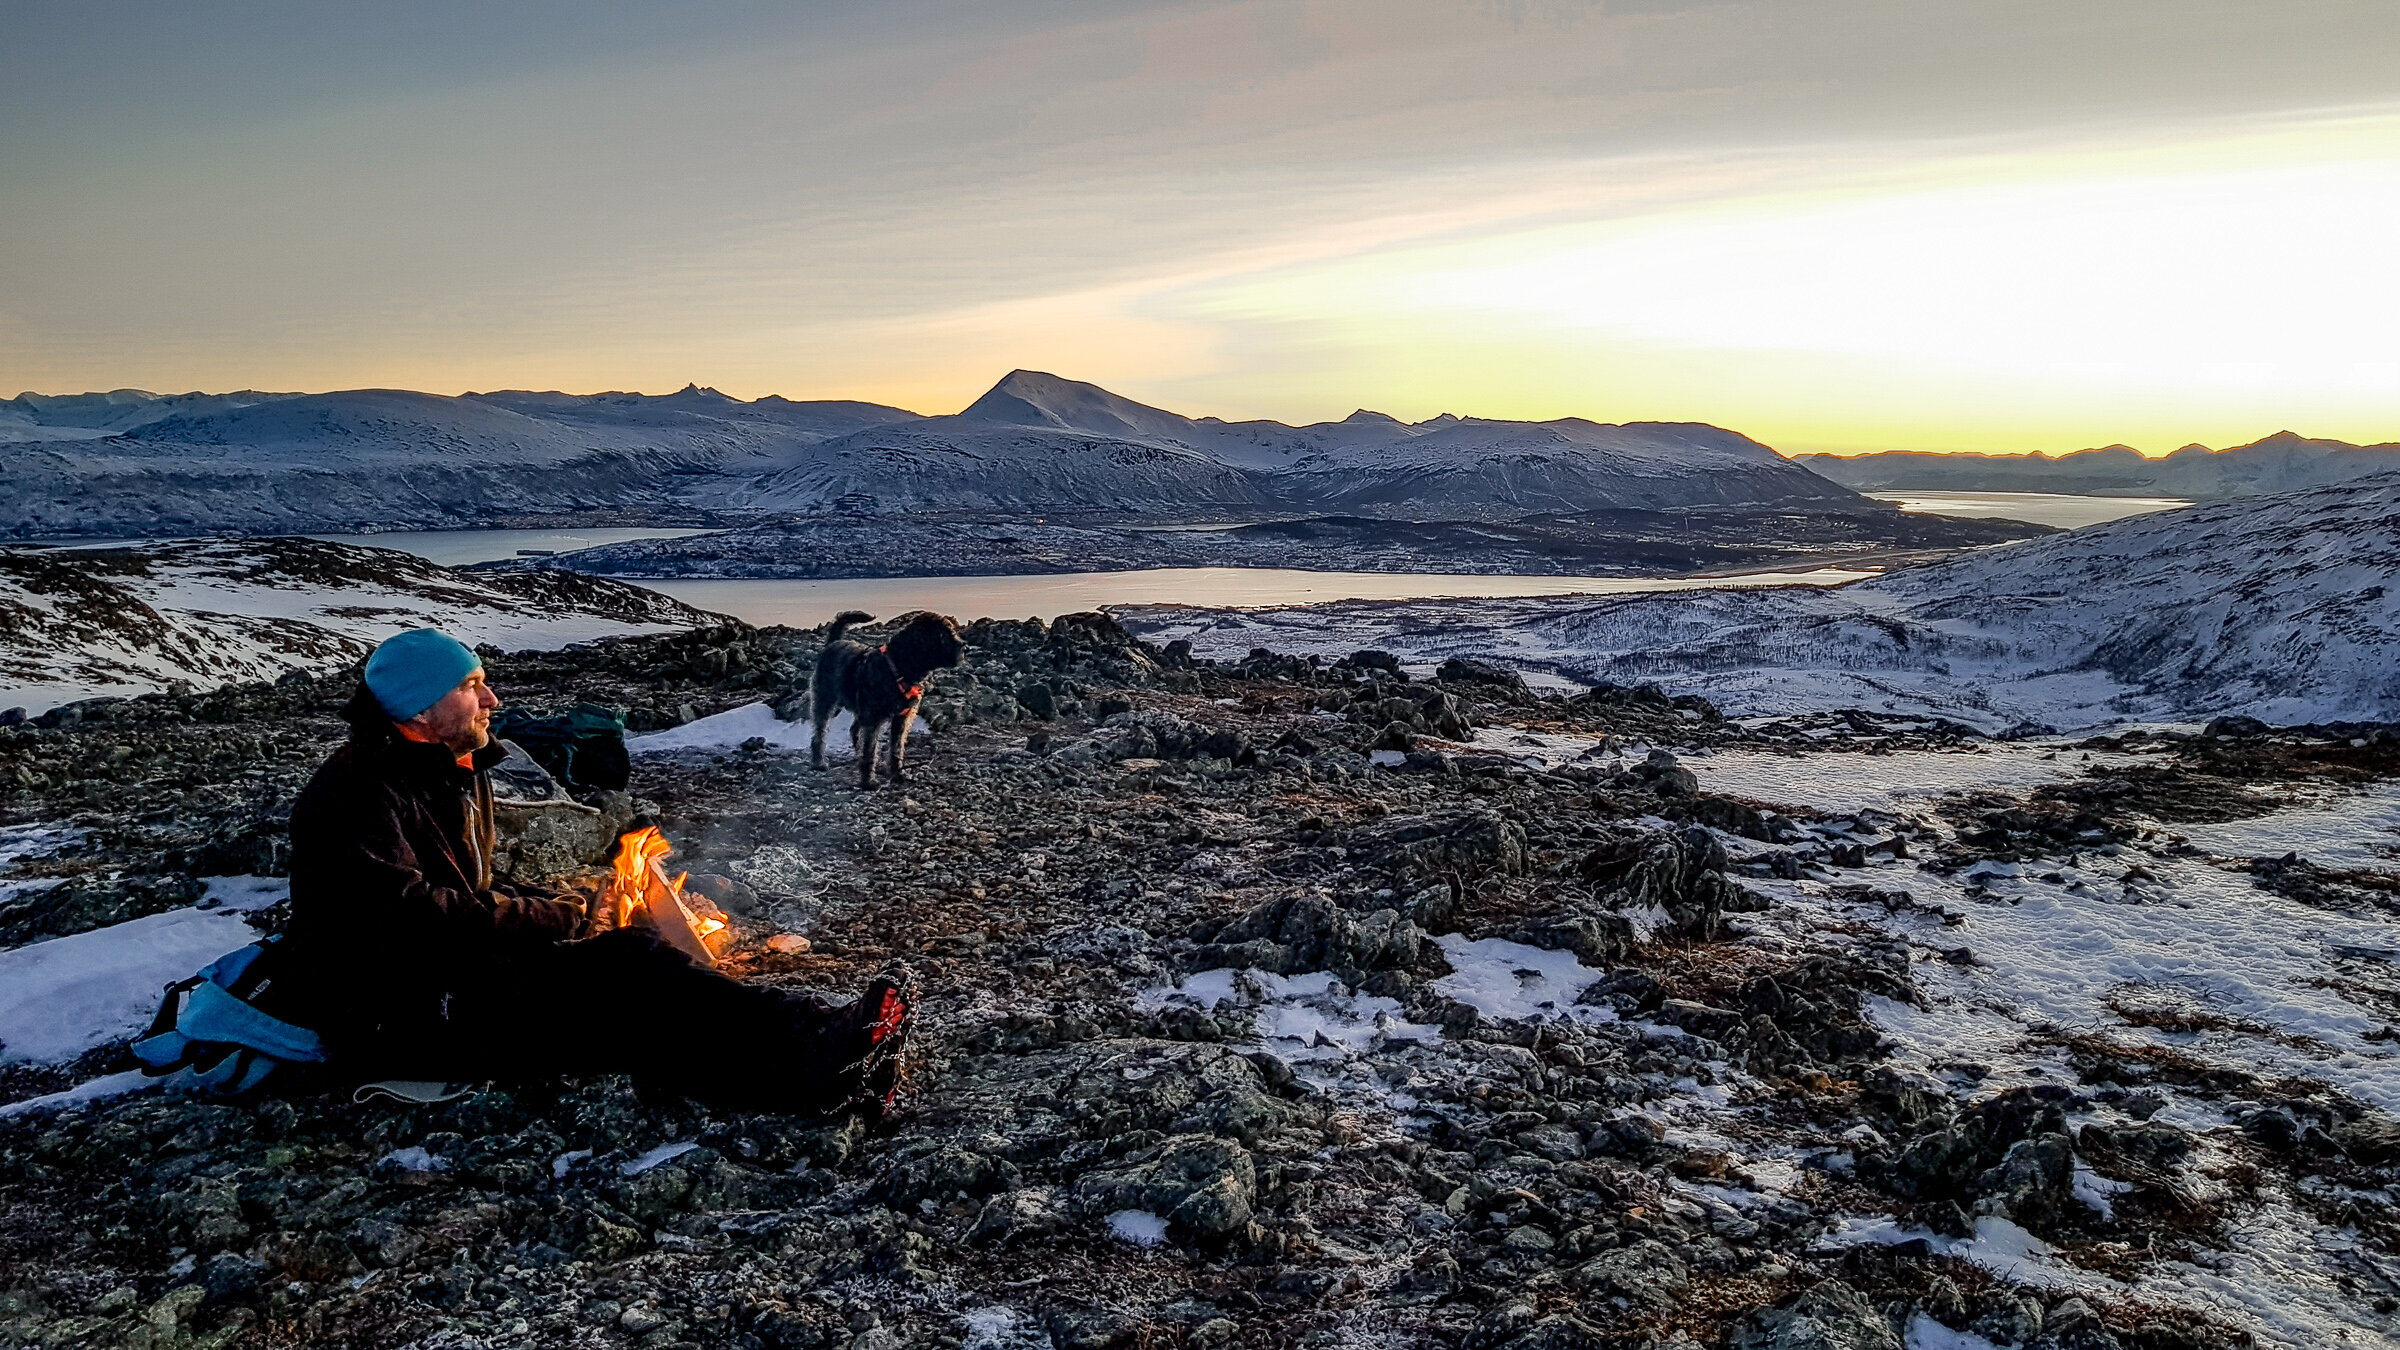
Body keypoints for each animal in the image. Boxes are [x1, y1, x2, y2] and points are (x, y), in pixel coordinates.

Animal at [806, 605, 955, 783]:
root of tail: (833, 643)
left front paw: (897, 773)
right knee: (819, 732)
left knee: (854, 730)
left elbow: (896, 747)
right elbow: (870, 749)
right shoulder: (873, 719)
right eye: (944, 636)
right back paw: (818, 762)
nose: (964, 647)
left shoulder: (901, 718)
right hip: (825, 700)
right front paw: (868, 781)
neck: (897, 667)